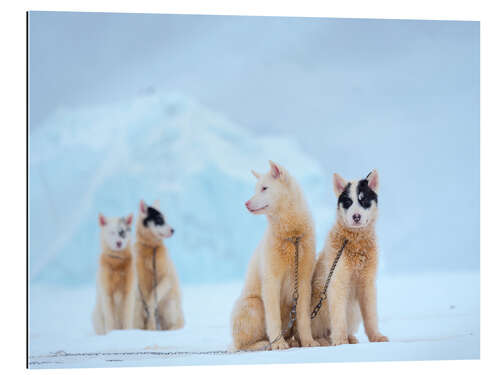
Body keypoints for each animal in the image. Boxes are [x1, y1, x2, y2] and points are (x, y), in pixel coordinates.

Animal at [133, 201, 186, 330]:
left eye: (166, 219)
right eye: (160, 220)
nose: (173, 230)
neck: (149, 247)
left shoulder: (165, 277)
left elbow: (153, 298)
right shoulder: (141, 280)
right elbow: (146, 299)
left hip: (170, 305)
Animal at [231, 162, 318, 352]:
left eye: (264, 188)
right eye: (255, 188)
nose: (246, 203)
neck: (292, 236)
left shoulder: (303, 280)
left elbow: (303, 317)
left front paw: (308, 341)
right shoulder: (271, 280)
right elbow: (273, 317)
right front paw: (278, 344)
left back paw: (292, 341)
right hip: (253, 305)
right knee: (242, 345)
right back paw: (264, 343)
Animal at [310, 170, 388, 346]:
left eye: (363, 200)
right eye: (347, 202)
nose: (356, 216)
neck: (355, 241)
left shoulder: (367, 283)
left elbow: (371, 315)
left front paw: (376, 336)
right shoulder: (337, 281)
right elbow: (338, 316)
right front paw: (340, 340)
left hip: (353, 310)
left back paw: (350, 338)